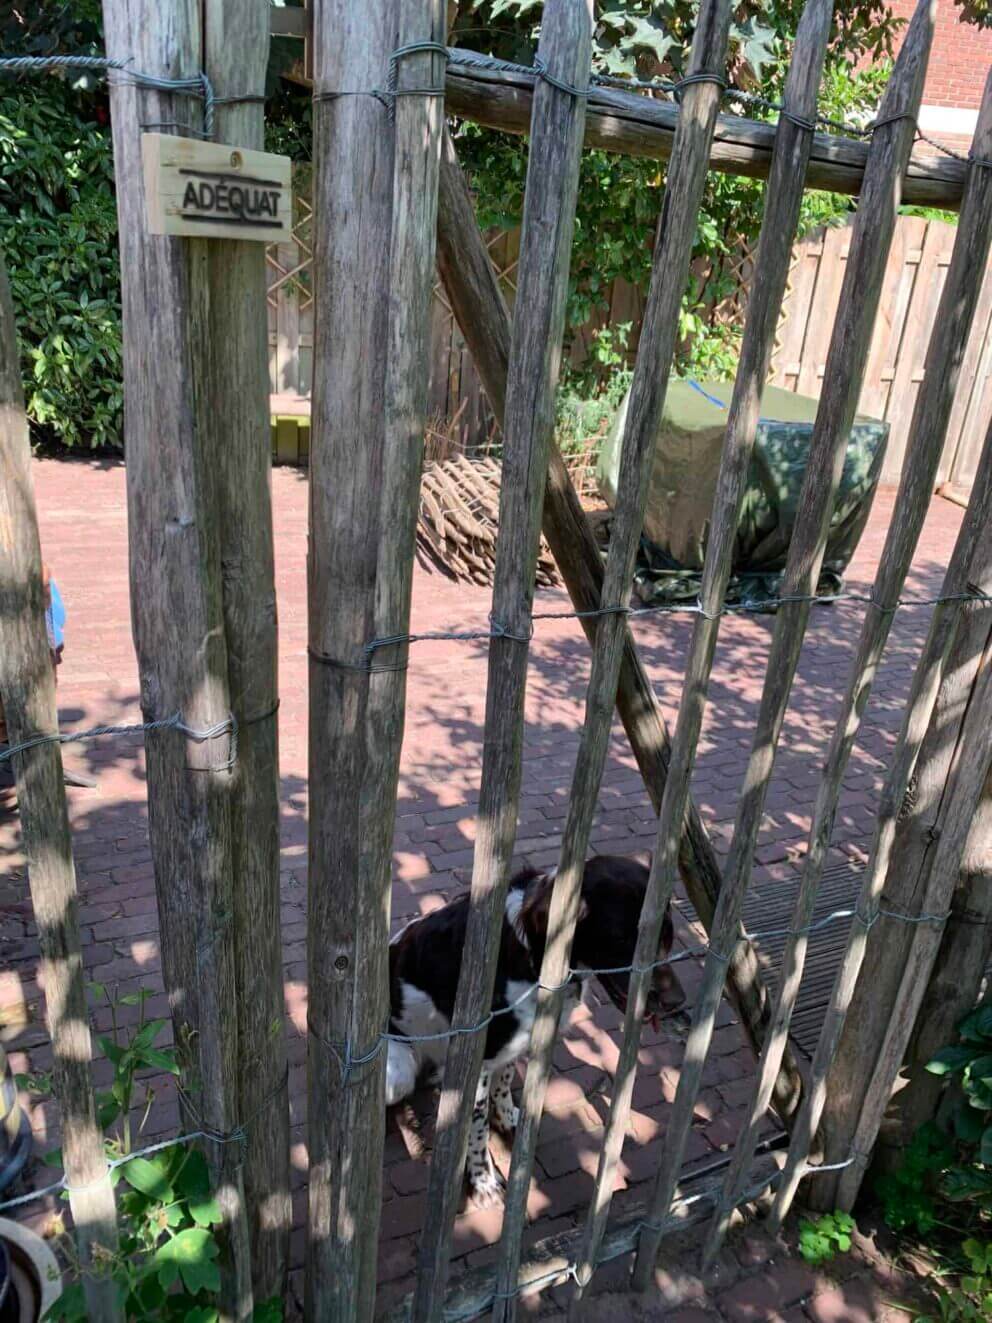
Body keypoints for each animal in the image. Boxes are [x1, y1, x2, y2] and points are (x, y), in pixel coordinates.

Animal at [386, 852, 682, 1206]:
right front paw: (483, 1181)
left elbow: (503, 1084)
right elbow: (477, 1128)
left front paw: (508, 1119)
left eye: (667, 935)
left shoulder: (512, 1047)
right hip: (397, 1076)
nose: (677, 1003)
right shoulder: (479, 1063)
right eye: (621, 938)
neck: (533, 953)